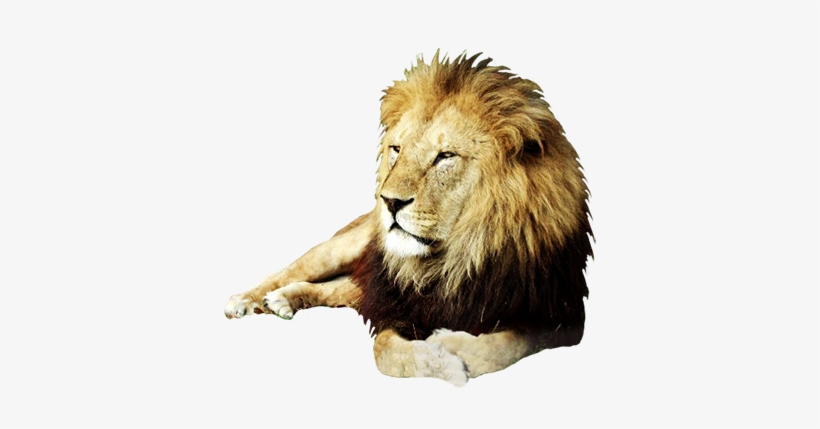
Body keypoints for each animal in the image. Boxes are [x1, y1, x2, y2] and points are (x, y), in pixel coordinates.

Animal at [224, 52, 593, 386]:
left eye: (445, 156)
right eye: (397, 150)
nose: (388, 201)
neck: (459, 258)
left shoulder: (562, 317)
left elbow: (506, 344)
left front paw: (453, 345)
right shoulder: (395, 304)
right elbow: (385, 354)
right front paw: (442, 363)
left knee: (336, 290)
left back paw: (285, 300)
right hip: (343, 249)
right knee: (293, 270)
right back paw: (248, 299)